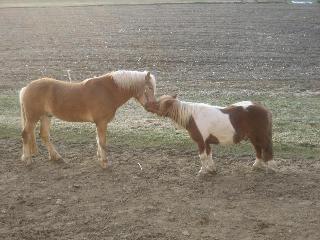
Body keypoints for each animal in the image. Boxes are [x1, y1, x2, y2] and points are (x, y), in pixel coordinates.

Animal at [18, 70, 156, 168]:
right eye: (149, 87)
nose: (152, 107)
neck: (107, 91)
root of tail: (26, 88)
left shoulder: (99, 123)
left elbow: (98, 141)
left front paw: (100, 158)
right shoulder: (102, 122)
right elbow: (102, 142)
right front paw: (105, 162)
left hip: (46, 116)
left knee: (44, 135)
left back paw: (56, 157)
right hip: (33, 118)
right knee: (26, 134)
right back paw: (28, 159)